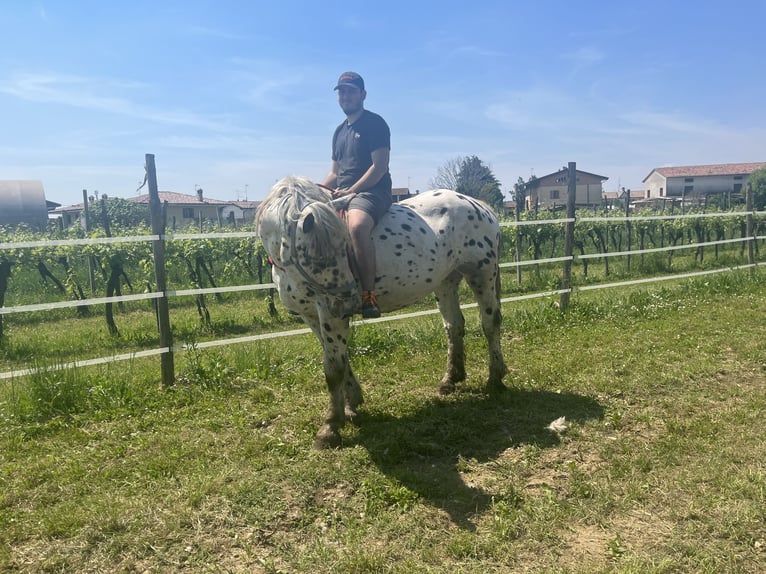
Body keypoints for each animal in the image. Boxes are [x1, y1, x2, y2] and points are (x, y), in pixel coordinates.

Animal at [258, 176, 510, 450]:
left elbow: (333, 368)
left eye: (344, 247)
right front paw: (351, 405)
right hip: (446, 281)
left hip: (482, 273)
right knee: (454, 326)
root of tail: (479, 205)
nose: (349, 300)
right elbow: (340, 360)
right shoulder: (311, 316)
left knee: (490, 324)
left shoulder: (330, 314)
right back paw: (450, 379)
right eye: (321, 256)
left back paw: (495, 378)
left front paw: (330, 427)